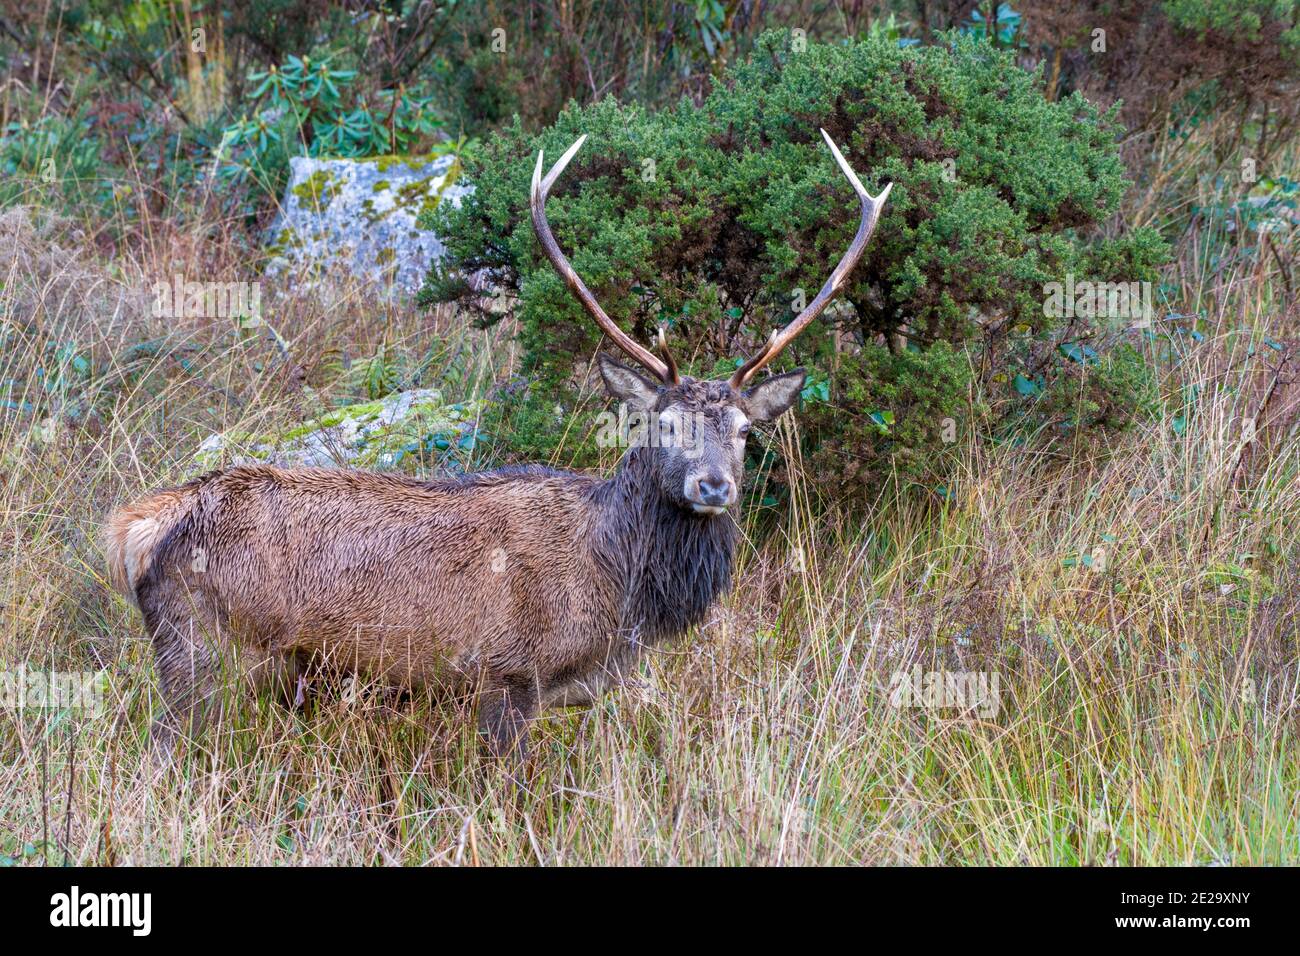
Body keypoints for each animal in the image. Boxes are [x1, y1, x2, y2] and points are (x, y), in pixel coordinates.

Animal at [104, 129, 890, 767]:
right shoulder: (507, 674)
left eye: (744, 431)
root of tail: (141, 526)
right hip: (201, 653)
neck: (619, 586)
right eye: (662, 424)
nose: (712, 486)